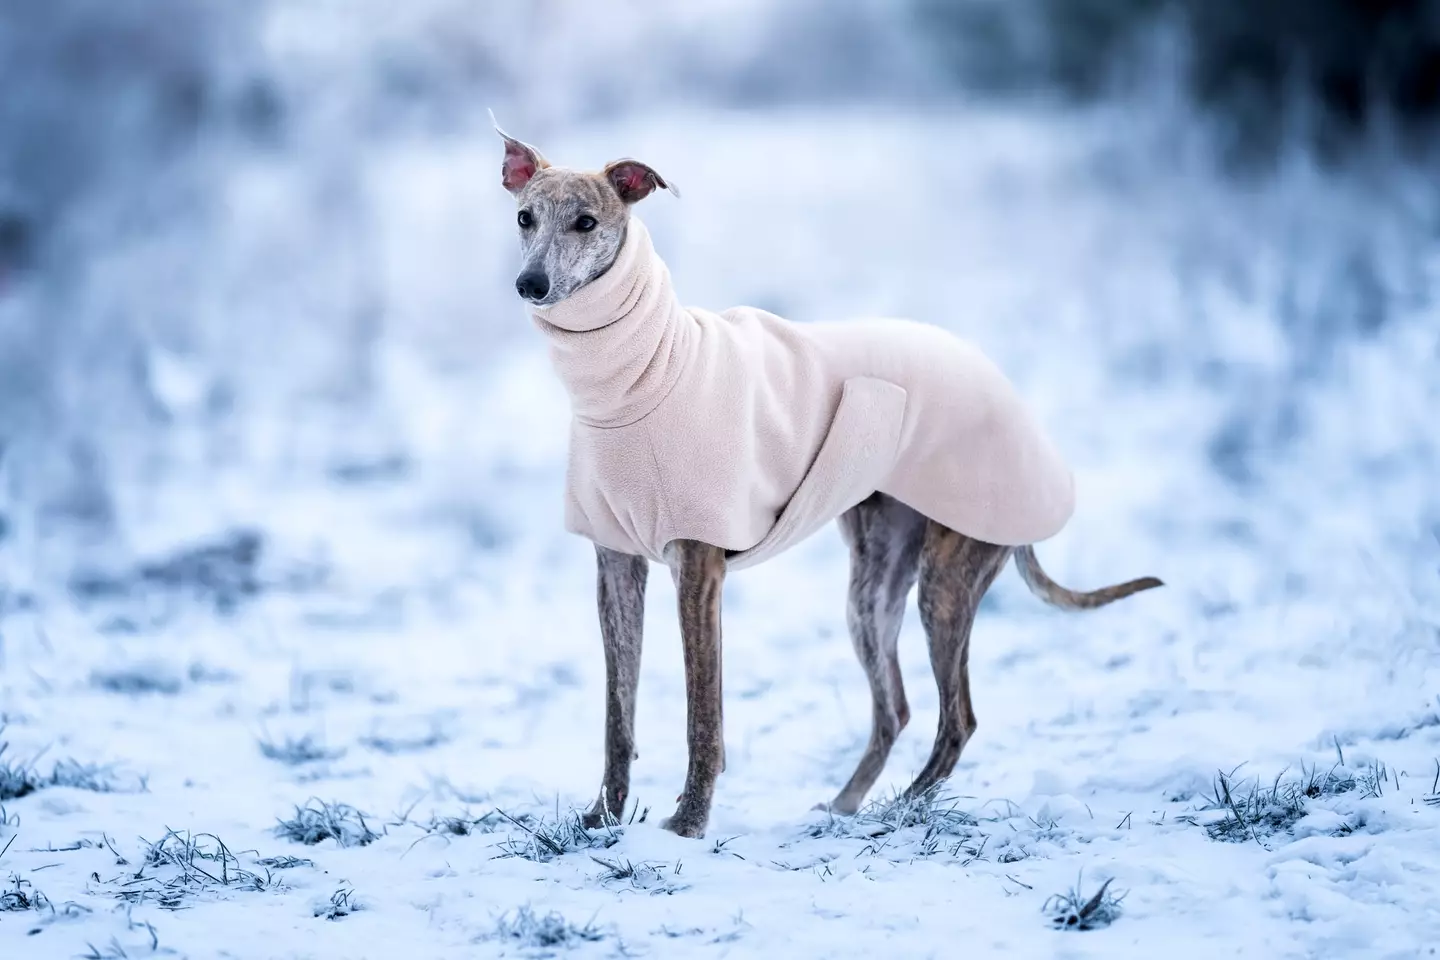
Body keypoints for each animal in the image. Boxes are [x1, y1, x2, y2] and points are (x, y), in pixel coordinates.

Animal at [495, 118, 1157, 840]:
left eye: (586, 222)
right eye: (525, 217)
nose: (530, 284)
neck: (639, 372)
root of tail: (1009, 394)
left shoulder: (699, 570)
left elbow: (704, 717)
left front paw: (688, 824)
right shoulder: (617, 565)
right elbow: (620, 713)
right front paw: (603, 819)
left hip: (946, 582)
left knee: (957, 717)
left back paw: (902, 808)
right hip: (872, 589)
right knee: (896, 707)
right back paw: (846, 806)